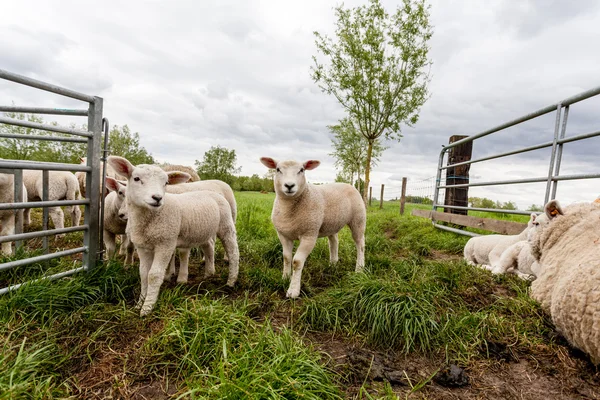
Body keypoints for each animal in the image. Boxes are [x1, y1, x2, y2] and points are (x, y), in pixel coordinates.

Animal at [108, 155, 239, 316]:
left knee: (233, 252)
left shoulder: (166, 243)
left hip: (226, 224)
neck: (149, 219)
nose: (157, 198)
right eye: (136, 178)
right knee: (209, 247)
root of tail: (215, 192)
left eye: (166, 183)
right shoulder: (143, 247)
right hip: (203, 230)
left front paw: (147, 308)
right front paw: (139, 304)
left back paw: (231, 281)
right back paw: (209, 273)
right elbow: (144, 274)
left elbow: (154, 275)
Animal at [258, 158, 366, 298]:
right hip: (332, 224)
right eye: (278, 169)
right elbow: (286, 258)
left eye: (301, 170)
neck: (289, 211)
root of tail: (348, 184)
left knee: (360, 244)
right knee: (334, 242)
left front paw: (293, 290)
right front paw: (285, 278)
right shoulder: (283, 235)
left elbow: (297, 261)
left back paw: (359, 269)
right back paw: (333, 264)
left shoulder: (309, 235)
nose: (289, 185)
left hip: (358, 220)